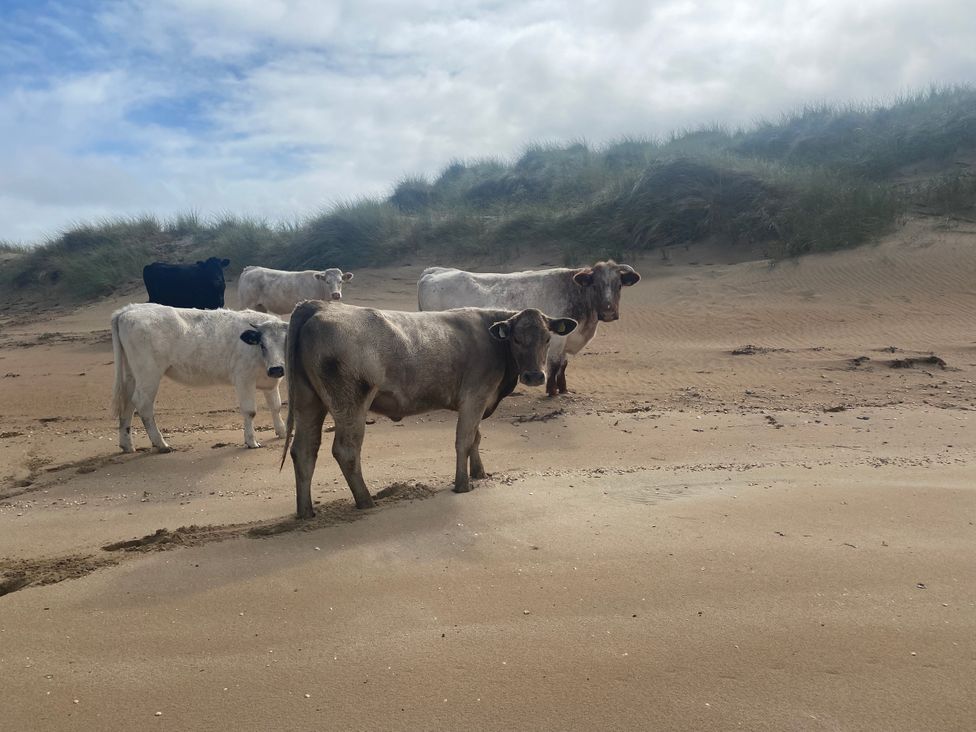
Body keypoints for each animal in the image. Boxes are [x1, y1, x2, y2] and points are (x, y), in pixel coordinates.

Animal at [111, 303, 288, 453]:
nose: (276, 369)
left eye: (285, 343)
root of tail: (128, 310)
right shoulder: (244, 379)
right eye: (263, 345)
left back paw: (127, 445)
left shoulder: (270, 383)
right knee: (143, 404)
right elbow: (250, 411)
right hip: (149, 375)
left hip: (132, 375)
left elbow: (276, 406)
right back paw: (161, 444)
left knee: (128, 403)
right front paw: (251, 441)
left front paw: (282, 432)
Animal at [282, 301, 577, 518]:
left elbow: (476, 438)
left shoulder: (481, 401)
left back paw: (305, 512)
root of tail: (319, 306)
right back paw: (366, 501)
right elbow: (464, 440)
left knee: (304, 450)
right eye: (516, 339)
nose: (535, 376)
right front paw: (462, 484)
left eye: (547, 338)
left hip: (309, 402)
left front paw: (479, 473)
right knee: (346, 451)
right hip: (350, 404)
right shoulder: (474, 397)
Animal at [417, 260, 640, 396]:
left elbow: (563, 366)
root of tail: (434, 271)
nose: (608, 312)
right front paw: (552, 392)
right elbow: (555, 365)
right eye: (595, 285)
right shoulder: (557, 341)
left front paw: (564, 390)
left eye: (619, 285)